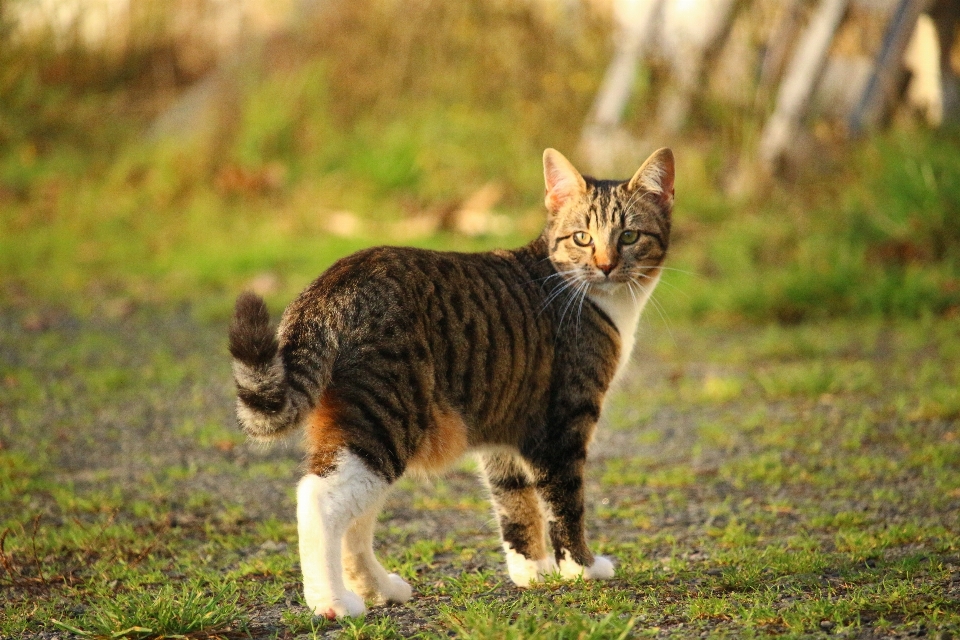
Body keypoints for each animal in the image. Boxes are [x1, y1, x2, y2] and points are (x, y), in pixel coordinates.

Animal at [228, 148, 672, 616]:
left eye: (629, 236)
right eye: (583, 238)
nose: (606, 266)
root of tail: (331, 285)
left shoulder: (505, 427)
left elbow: (515, 503)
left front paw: (532, 572)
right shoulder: (564, 424)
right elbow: (565, 502)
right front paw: (581, 569)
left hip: (359, 426)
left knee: (356, 516)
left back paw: (376, 588)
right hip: (386, 418)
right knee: (319, 500)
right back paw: (330, 601)